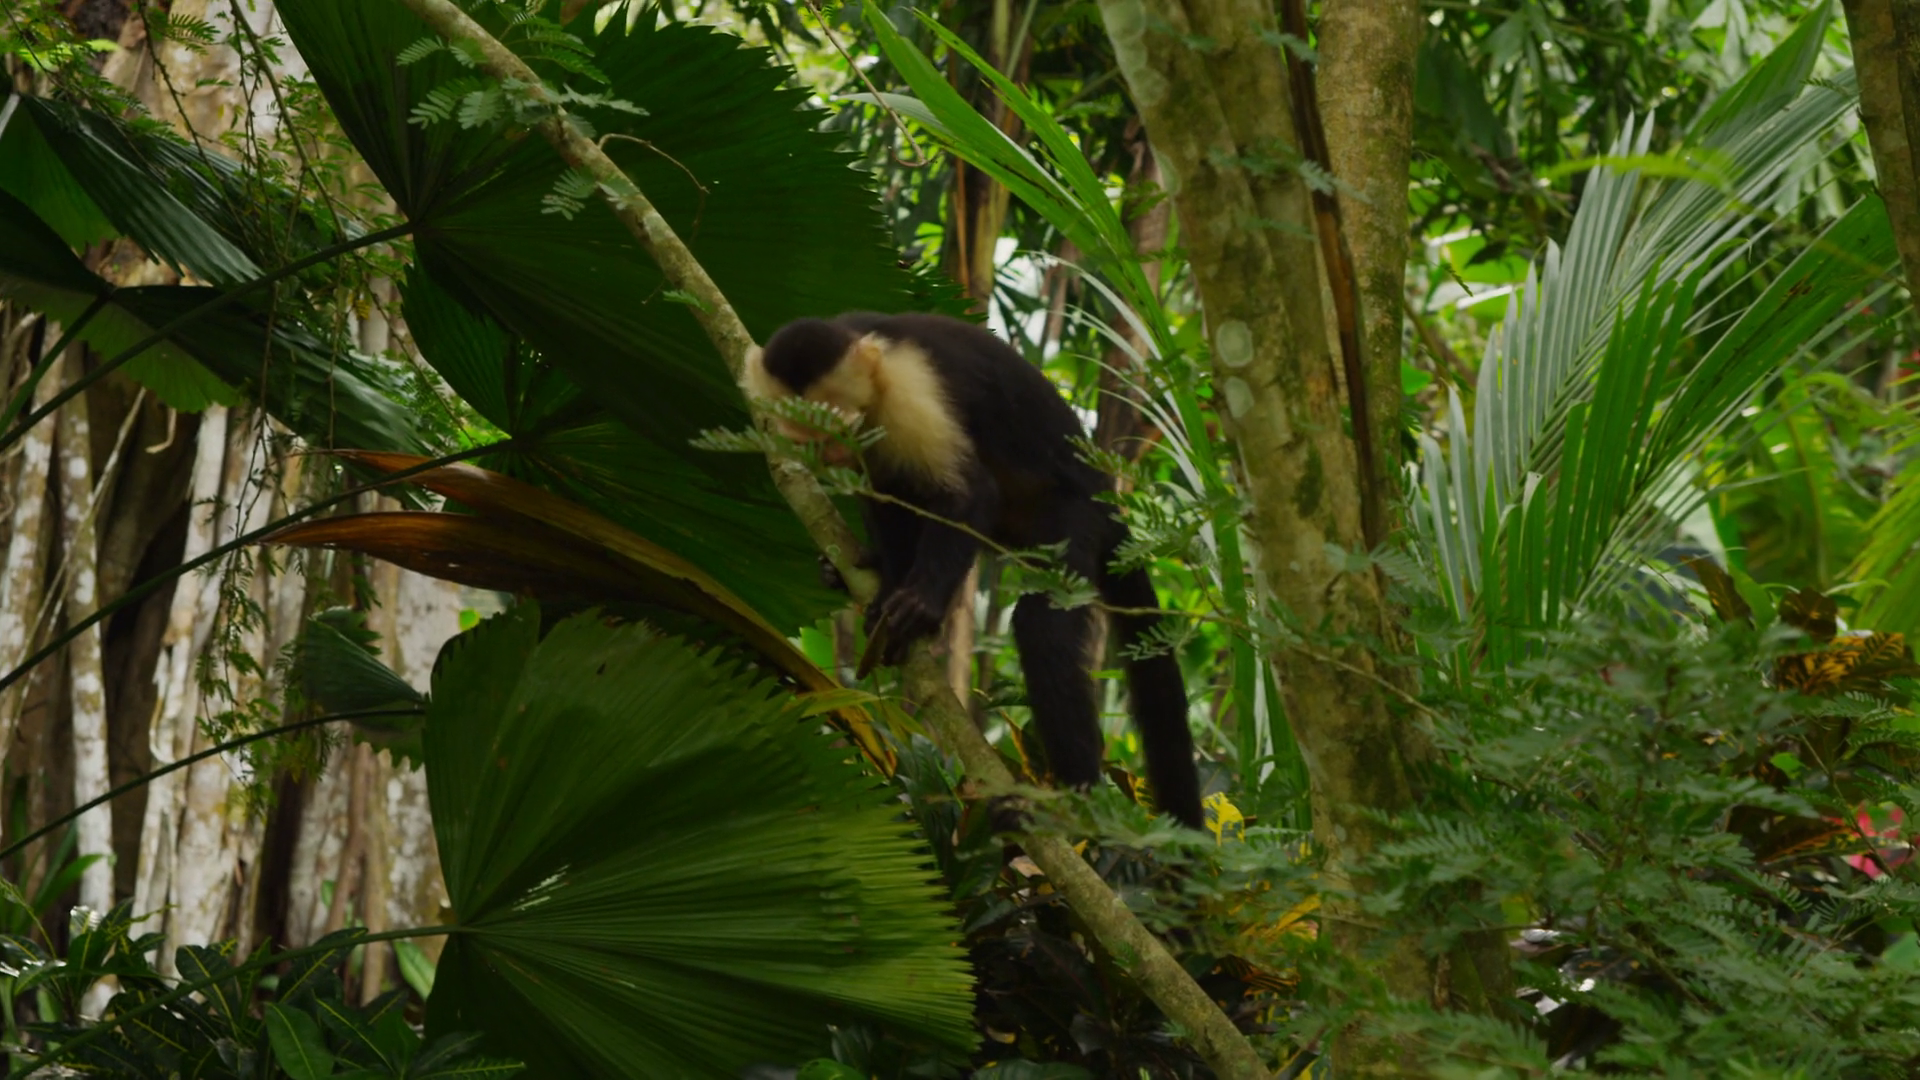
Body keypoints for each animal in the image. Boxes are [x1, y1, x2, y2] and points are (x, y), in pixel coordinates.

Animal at [743, 312, 1204, 830]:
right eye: (809, 438)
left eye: (835, 425)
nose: (831, 454)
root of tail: (1108, 499)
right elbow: (886, 496)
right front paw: (886, 594)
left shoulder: (908, 387)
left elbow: (967, 495)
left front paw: (919, 604)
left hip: (1075, 515)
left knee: (1042, 619)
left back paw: (1069, 801)